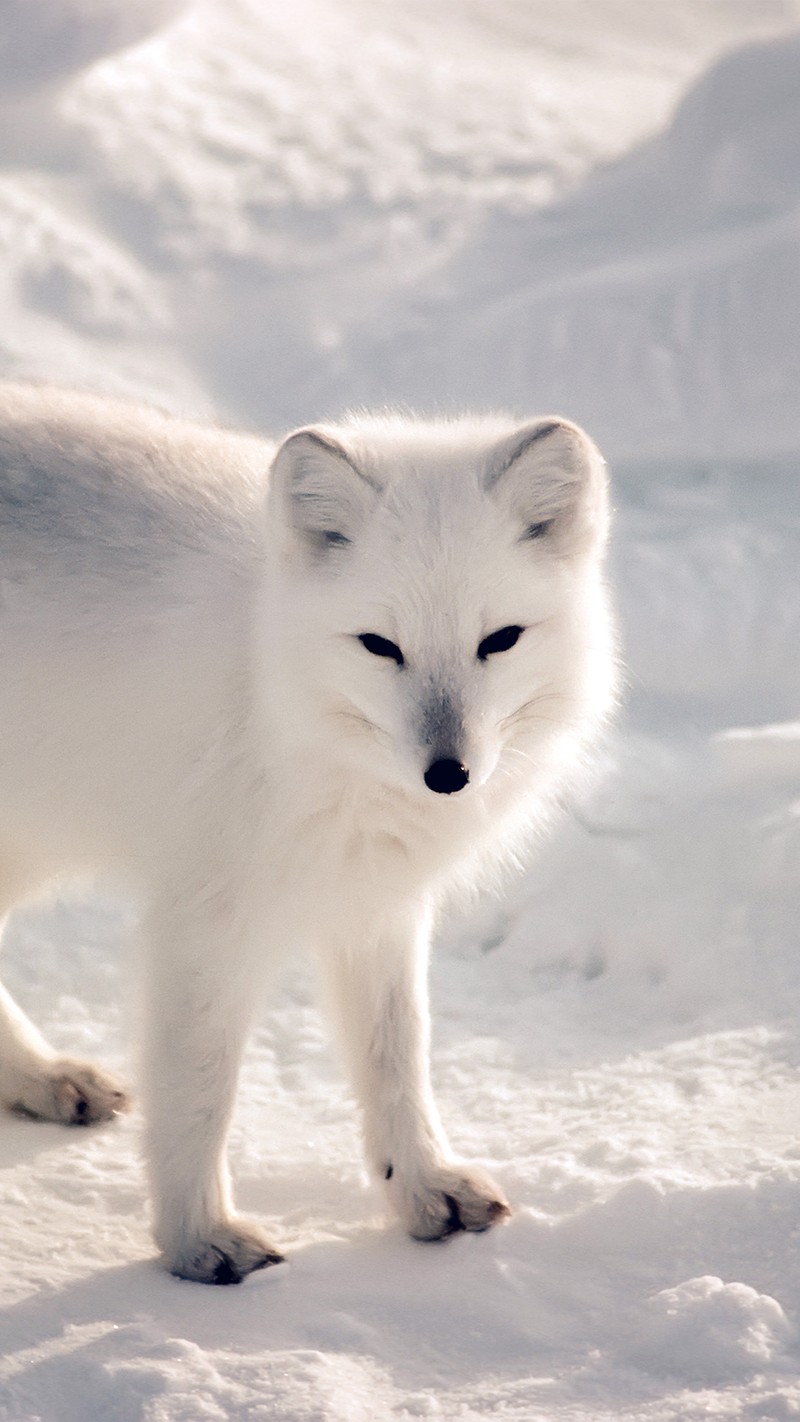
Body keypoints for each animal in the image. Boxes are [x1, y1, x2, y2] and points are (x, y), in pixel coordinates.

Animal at [0, 383, 616, 1285]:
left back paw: (40, 1077)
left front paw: (422, 1188)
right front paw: (198, 1240)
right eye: (379, 646)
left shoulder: (375, 903)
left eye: (499, 641)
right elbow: (200, 1087)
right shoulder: (206, 920)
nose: (448, 775)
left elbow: (397, 1055)